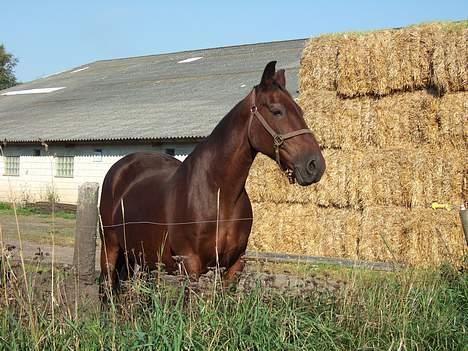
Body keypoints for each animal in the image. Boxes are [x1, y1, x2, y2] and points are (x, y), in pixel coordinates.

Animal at [98, 60, 326, 294]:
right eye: (276, 111)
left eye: (300, 111)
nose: (314, 165)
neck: (217, 192)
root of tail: (119, 168)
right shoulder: (190, 264)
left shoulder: (234, 265)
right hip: (110, 247)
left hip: (138, 257)